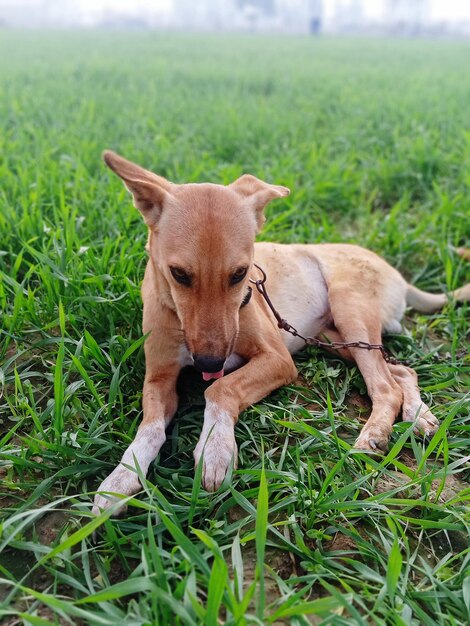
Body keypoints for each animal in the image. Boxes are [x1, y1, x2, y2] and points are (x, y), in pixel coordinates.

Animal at [91, 150, 466, 512]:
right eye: (179, 274)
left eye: (240, 274)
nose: (208, 363)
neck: (178, 317)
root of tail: (395, 273)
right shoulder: (158, 377)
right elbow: (150, 426)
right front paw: (120, 478)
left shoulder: (277, 359)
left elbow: (221, 389)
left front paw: (215, 448)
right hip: (335, 339)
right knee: (401, 372)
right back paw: (420, 416)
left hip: (351, 312)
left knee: (386, 386)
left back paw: (375, 434)